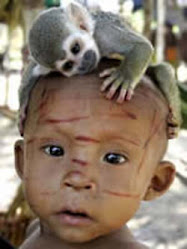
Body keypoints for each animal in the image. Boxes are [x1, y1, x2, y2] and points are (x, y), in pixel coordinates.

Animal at [19, 0, 181, 138]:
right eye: (68, 65)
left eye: (76, 48)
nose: (83, 64)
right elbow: (32, 69)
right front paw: (22, 106)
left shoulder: (104, 32)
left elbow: (142, 46)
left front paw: (124, 76)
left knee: (162, 71)